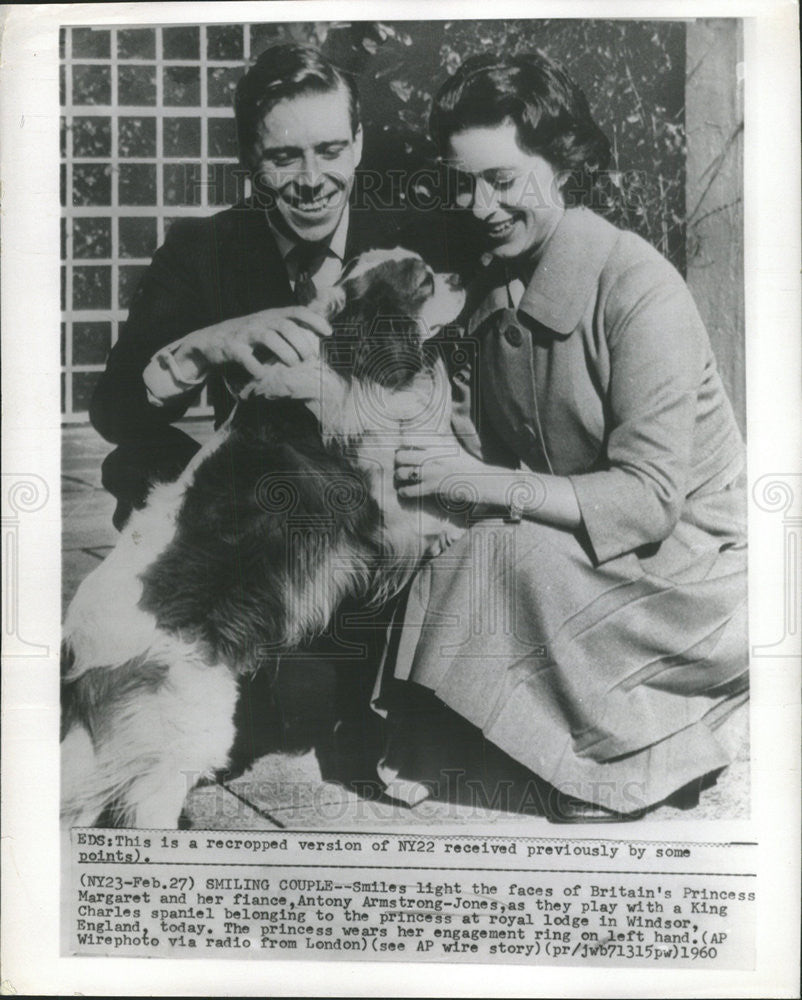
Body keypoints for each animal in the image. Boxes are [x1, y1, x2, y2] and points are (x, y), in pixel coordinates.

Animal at [59, 248, 466, 828]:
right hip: (189, 722)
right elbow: (423, 506)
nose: (460, 275)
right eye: (425, 280)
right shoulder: (374, 501)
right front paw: (458, 524)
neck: (343, 352)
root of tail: (79, 663)